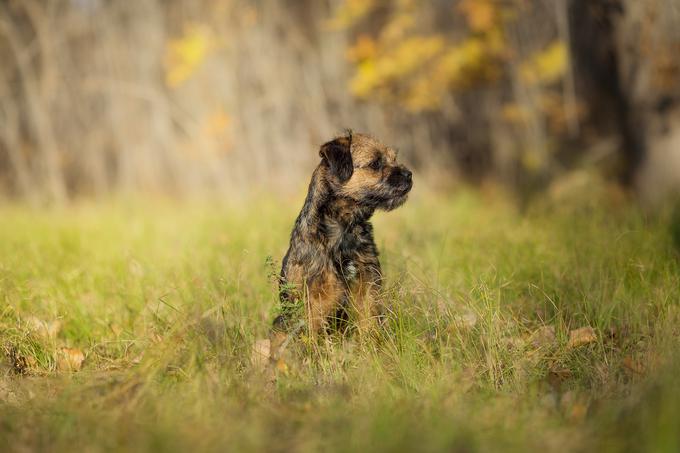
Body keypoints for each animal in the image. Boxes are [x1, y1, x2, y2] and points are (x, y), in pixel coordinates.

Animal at [272, 131, 414, 354]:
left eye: (394, 158)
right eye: (375, 163)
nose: (409, 174)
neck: (344, 228)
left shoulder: (366, 283)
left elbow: (368, 320)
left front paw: (370, 349)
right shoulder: (317, 297)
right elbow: (313, 330)